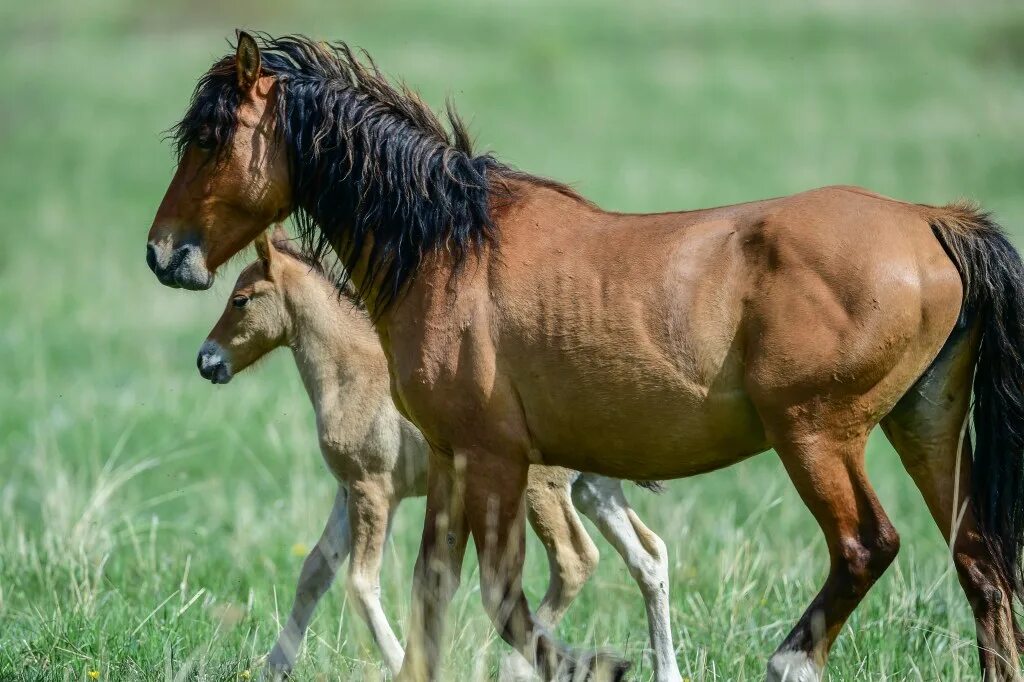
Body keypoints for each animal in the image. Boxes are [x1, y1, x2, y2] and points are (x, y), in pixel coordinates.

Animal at [197, 229, 679, 679]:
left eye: (240, 300)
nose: (206, 361)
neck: (351, 371)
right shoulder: (347, 489)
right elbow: (315, 571)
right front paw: (274, 666)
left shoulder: (373, 490)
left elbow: (360, 583)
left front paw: (400, 662)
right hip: (595, 489)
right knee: (649, 556)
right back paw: (664, 669)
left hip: (543, 491)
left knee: (576, 561)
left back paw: (520, 665)